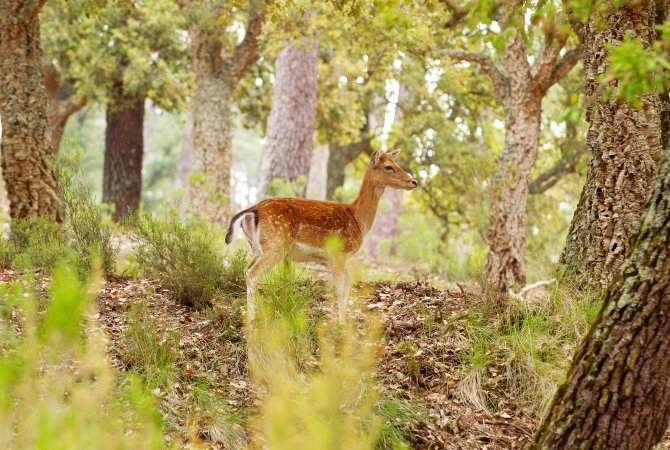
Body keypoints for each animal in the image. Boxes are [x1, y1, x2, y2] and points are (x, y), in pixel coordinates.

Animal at [226, 150, 418, 324]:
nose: (414, 181)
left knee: (246, 270)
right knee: (253, 274)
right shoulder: (338, 252)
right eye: (388, 167)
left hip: (257, 248)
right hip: (275, 245)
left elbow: (348, 284)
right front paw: (342, 325)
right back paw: (252, 319)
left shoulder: (332, 259)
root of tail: (251, 211)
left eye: (396, 163)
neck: (358, 219)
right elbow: (340, 288)